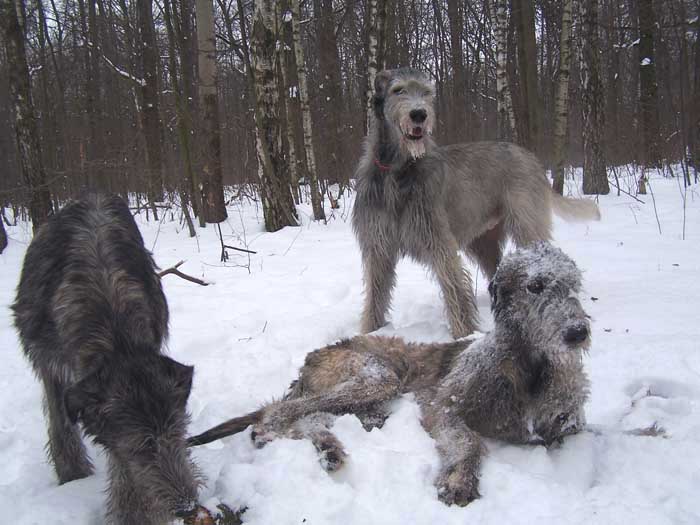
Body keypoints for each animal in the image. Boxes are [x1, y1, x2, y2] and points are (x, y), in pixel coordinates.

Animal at [190, 244, 592, 506]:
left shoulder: (566, 419)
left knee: (312, 417)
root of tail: (313, 358)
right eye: (535, 286)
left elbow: (565, 429)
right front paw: (459, 479)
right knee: (287, 411)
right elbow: (468, 440)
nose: (578, 333)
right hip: (376, 375)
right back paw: (273, 430)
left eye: (574, 284)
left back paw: (329, 448)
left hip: (368, 394)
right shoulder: (442, 404)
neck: (528, 366)